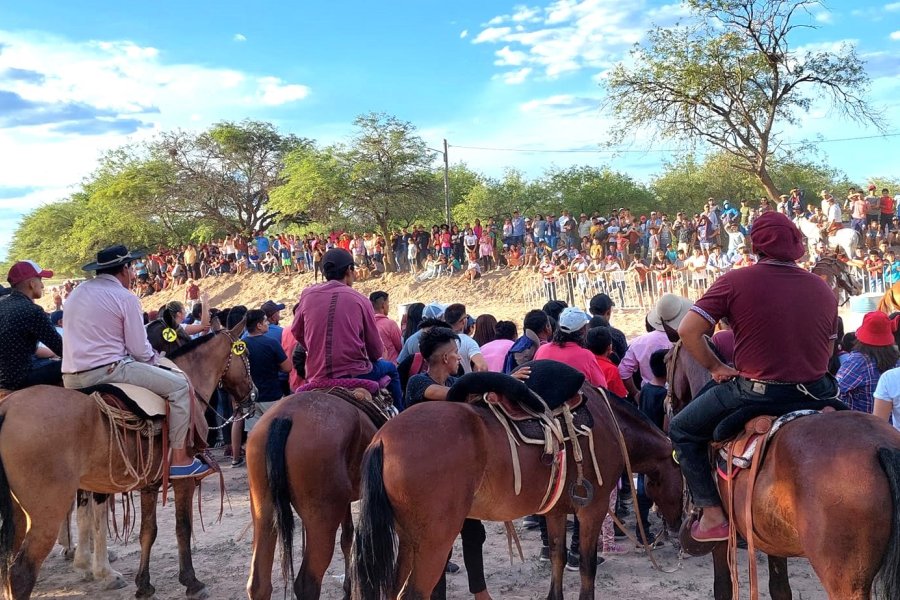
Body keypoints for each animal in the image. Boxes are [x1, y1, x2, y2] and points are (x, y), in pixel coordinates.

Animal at [0, 324, 256, 600]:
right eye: (245, 353)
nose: (253, 395)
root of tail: (8, 408)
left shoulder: (149, 483)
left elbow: (147, 532)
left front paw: (143, 585)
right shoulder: (183, 482)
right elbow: (182, 528)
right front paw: (191, 582)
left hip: (19, 513)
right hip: (46, 512)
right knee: (21, 573)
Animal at [246, 386, 390, 596]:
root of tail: (285, 417)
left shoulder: (345, 501)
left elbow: (347, 537)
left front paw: (348, 587)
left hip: (263, 510)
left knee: (258, 584)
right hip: (323, 519)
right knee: (307, 584)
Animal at [352, 372, 684, 596]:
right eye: (685, 480)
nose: (679, 524)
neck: (610, 425)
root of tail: (383, 439)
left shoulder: (556, 510)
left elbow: (558, 557)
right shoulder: (594, 509)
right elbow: (587, 565)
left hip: (410, 538)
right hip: (434, 540)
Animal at [664, 338, 900, 600]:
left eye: (665, 360)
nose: (666, 410)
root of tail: (881, 445)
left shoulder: (723, 542)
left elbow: (722, 588)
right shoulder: (772, 538)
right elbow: (779, 588)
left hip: (846, 582)